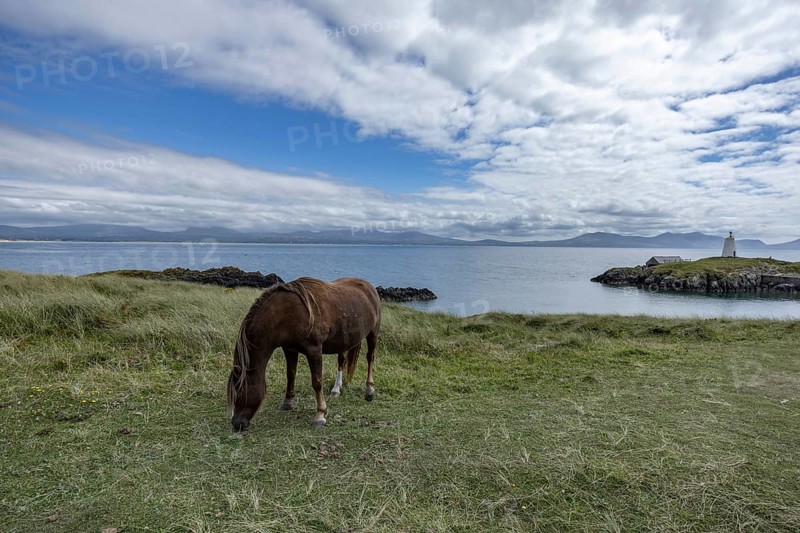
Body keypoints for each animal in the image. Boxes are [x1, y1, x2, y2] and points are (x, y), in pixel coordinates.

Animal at [226, 277, 381, 431]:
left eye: (239, 391)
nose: (236, 424)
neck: (286, 314)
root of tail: (369, 286)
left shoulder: (314, 350)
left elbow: (317, 382)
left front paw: (320, 415)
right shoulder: (289, 349)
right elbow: (290, 375)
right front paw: (287, 402)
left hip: (373, 333)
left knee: (370, 357)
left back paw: (369, 390)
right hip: (344, 341)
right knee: (341, 361)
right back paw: (336, 389)